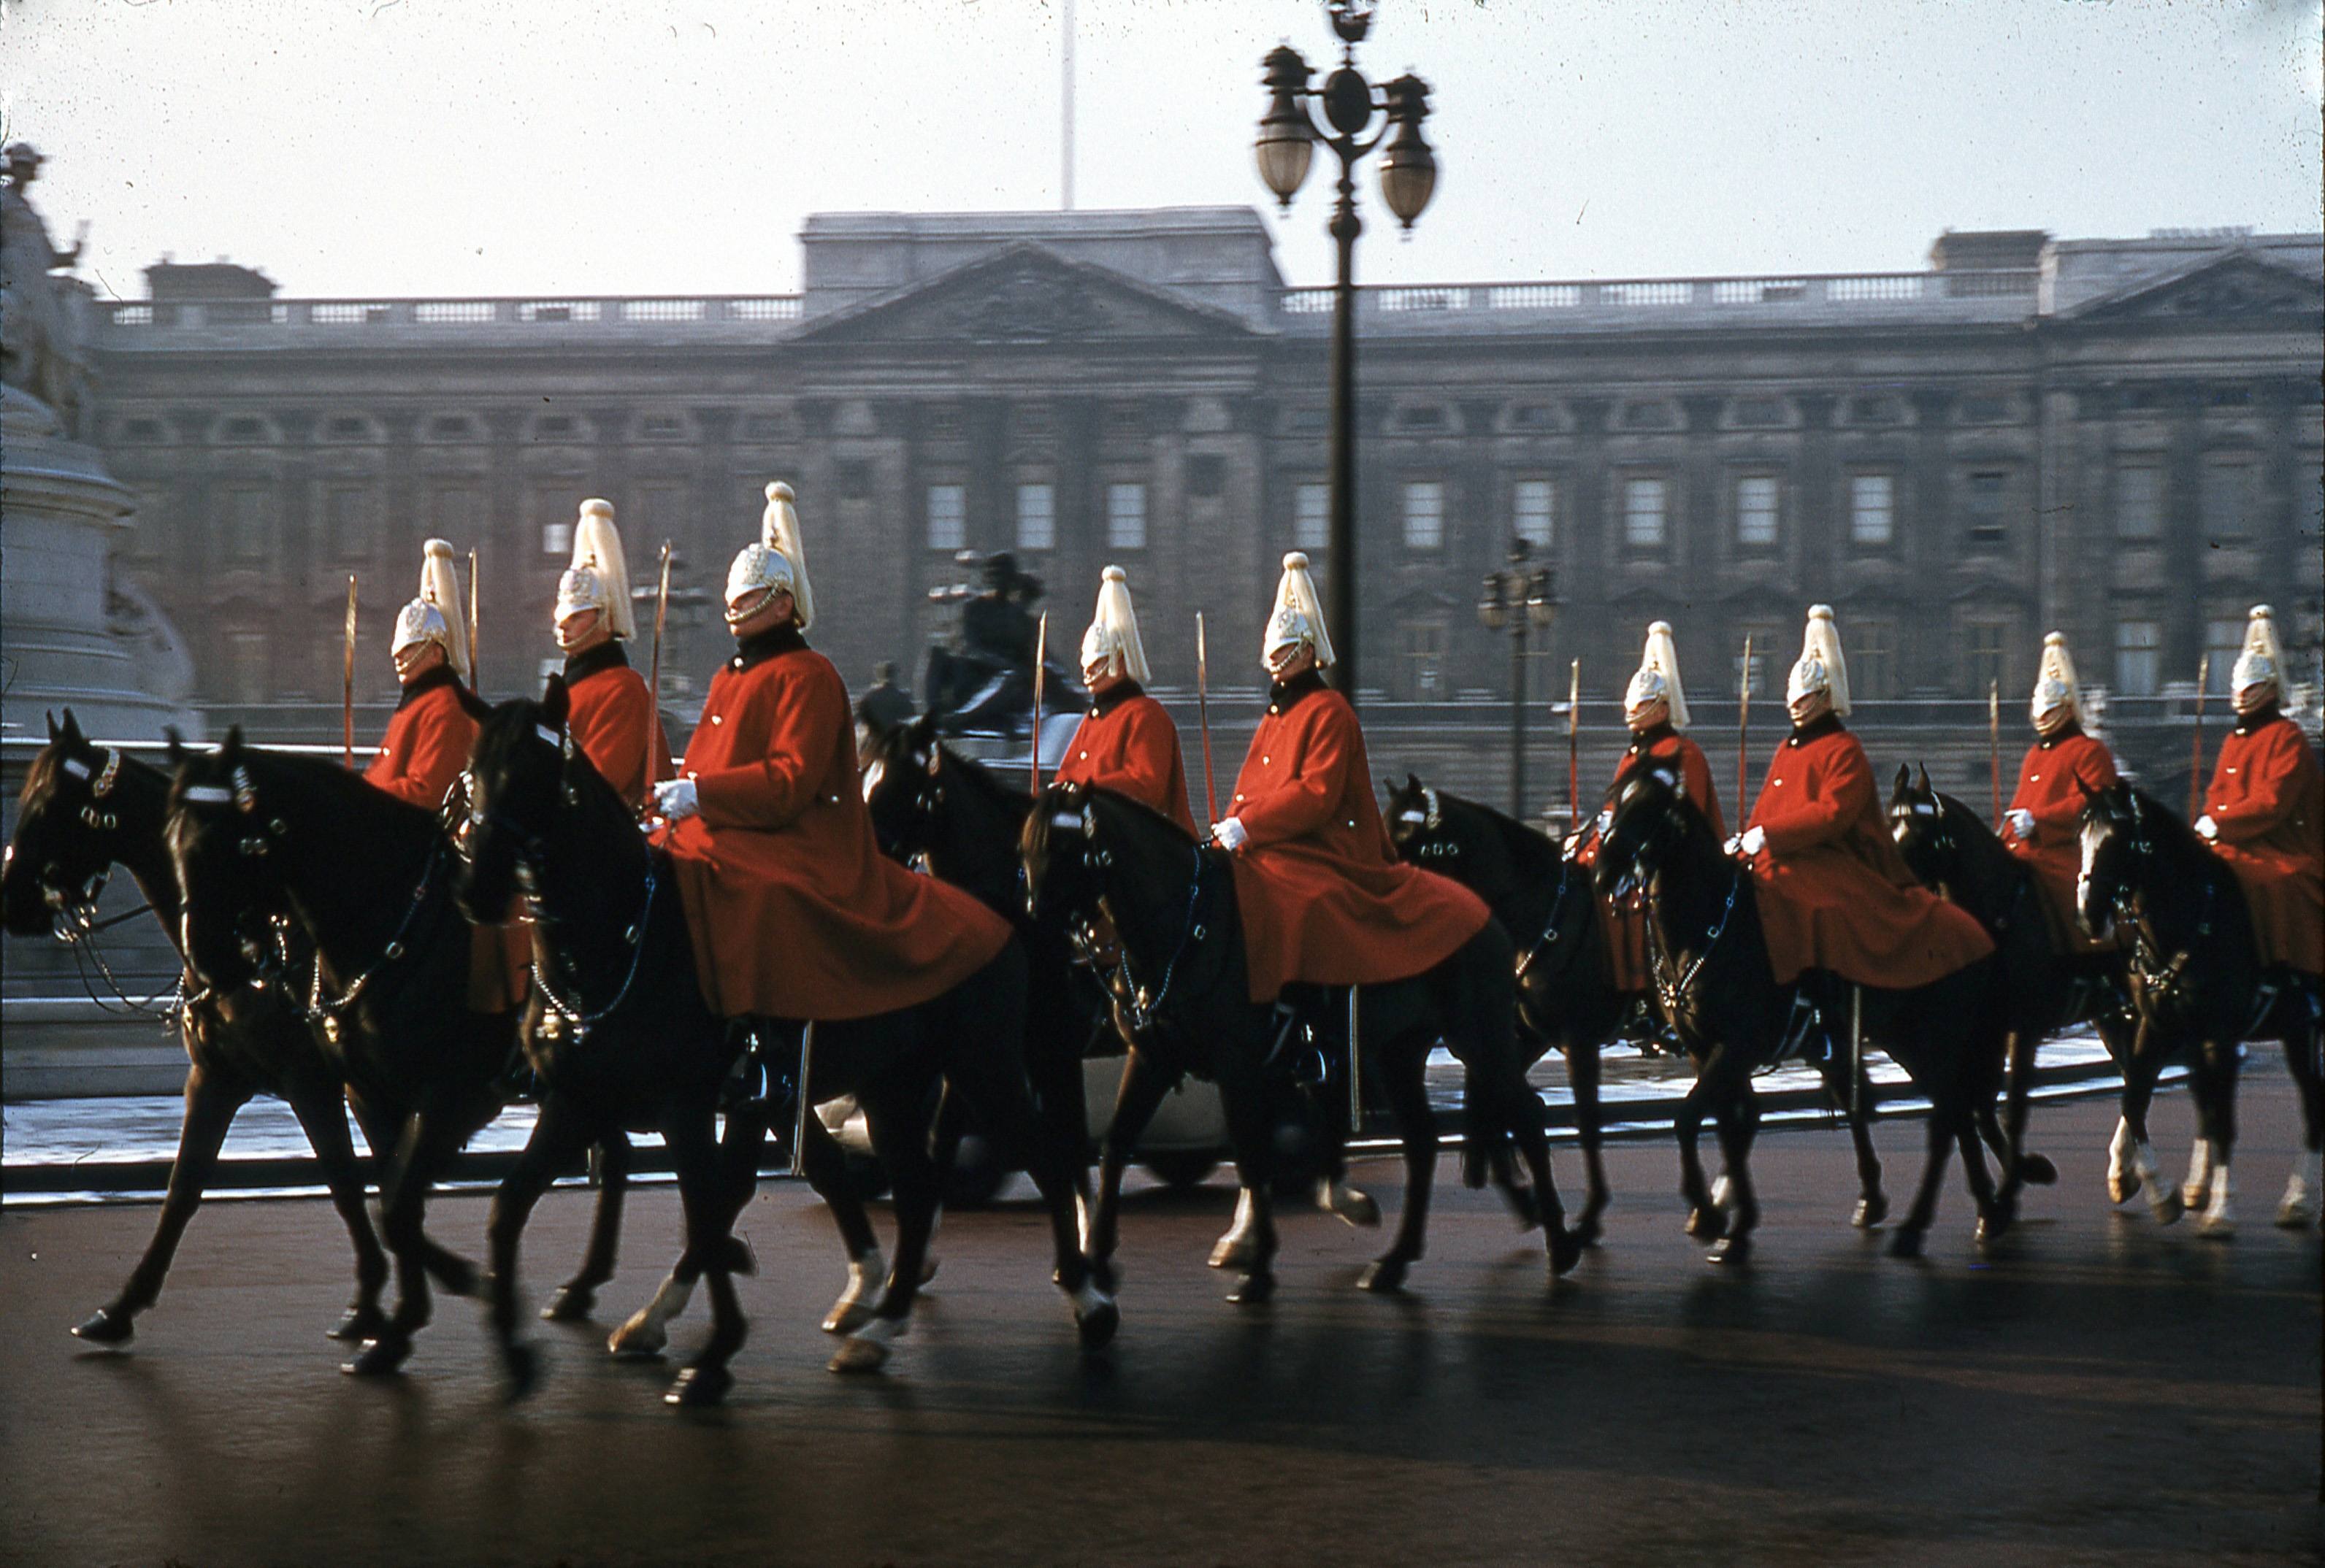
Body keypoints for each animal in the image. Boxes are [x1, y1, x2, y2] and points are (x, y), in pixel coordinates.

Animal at [165, 734, 632, 1375]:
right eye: (173, 840)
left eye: (232, 842)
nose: (208, 962)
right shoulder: (367, 1093)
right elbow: (391, 1198)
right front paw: (401, 1323)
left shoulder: (451, 1099)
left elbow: (395, 1203)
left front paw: (440, 1297)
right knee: (619, 1156)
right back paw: (587, 1288)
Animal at [462, 683, 1116, 1384]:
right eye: (473, 773)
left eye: (531, 772)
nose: (476, 888)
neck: (624, 941)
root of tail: (1001, 919)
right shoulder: (586, 1099)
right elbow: (514, 1204)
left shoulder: (691, 1103)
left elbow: (716, 1199)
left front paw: (690, 1328)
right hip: (896, 1085)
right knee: (920, 1187)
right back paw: (883, 1323)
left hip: (985, 1068)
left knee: (1047, 1158)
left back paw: (1087, 1296)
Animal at [1018, 780, 1581, 1301]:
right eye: (1026, 847)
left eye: (1064, 845)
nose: (1036, 923)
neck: (1187, 927)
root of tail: (1487, 913)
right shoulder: (1153, 1058)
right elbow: (1116, 1144)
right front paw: (1096, 1260)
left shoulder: (1238, 1064)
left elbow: (1251, 1152)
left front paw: (1257, 1267)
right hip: (1397, 1054)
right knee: (1422, 1143)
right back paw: (1394, 1263)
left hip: (1478, 1038)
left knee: (1526, 1117)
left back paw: (1560, 1243)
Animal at [1599, 766, 2018, 1254]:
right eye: (1617, 799)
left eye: (1650, 806)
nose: (1604, 870)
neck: (1710, 928)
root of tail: (1976, 930)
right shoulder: (1705, 1050)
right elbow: (1729, 1125)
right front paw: (1734, 1223)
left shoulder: (1738, 1046)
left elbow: (1691, 1119)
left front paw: (1711, 1215)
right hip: (1905, 1041)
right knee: (1955, 1114)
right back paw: (1983, 1212)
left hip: (1932, 1041)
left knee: (1949, 1117)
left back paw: (1924, 1225)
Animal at [2083, 780, 2316, 1235]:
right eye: (2079, 839)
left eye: (2117, 841)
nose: (2089, 916)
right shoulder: (2156, 1026)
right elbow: (2134, 1099)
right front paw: (2161, 1193)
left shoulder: (2218, 1037)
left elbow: (2222, 1117)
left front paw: (2221, 1209)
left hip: (2299, 1030)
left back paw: (2295, 1200)